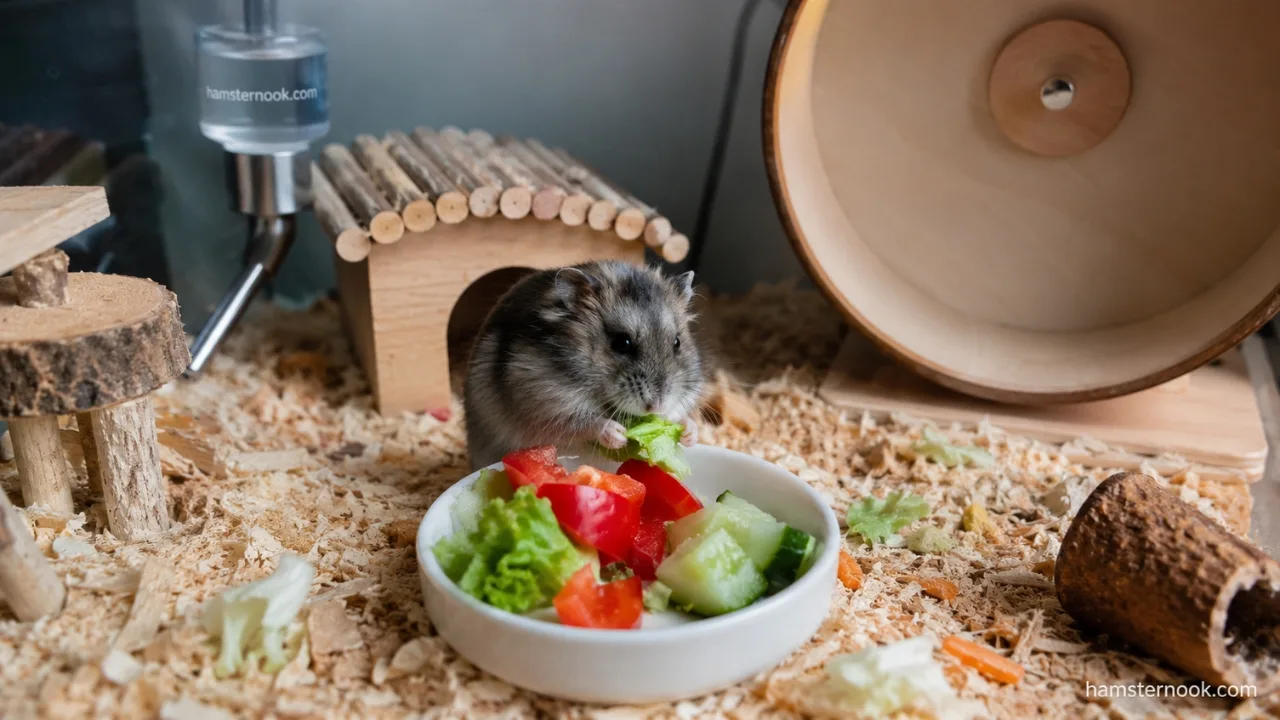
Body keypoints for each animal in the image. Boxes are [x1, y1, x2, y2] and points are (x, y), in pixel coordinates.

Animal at [463, 260, 705, 471]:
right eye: (622, 343)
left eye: (677, 342)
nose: (656, 406)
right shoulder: (544, 403)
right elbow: (582, 423)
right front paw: (617, 434)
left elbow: (679, 413)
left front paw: (688, 433)